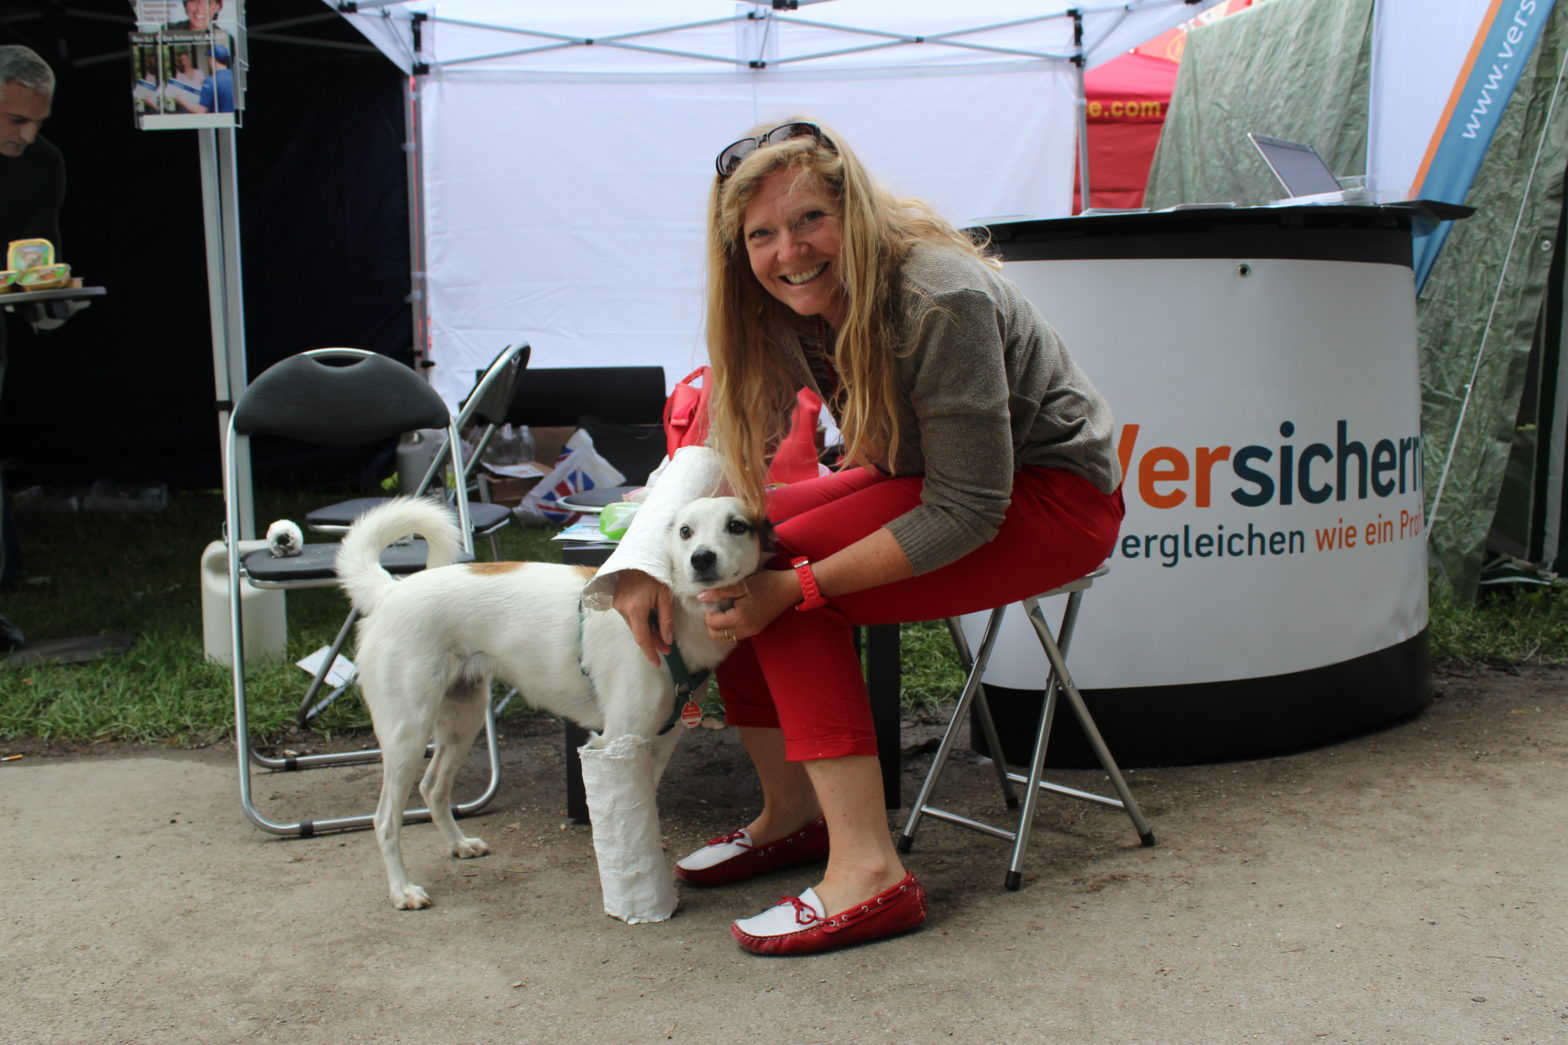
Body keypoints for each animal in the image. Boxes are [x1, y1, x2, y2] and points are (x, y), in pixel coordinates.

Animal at [334, 494, 767, 910]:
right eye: (685, 531)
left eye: (736, 526)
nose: (702, 559)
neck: (672, 616)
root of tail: (392, 589)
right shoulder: (614, 740)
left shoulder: (659, 740)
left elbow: (643, 801)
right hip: (406, 734)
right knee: (384, 820)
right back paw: (402, 890)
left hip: (463, 720)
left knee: (432, 789)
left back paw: (458, 845)